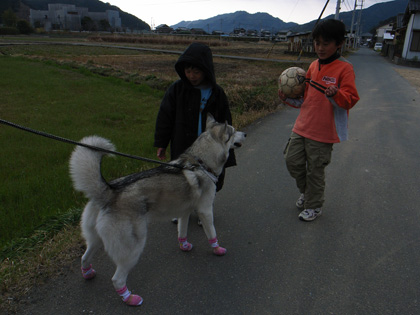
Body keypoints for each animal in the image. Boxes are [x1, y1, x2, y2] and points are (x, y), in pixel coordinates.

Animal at [69, 115, 246, 308]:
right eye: (233, 130)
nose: (244, 134)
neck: (201, 162)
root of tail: (109, 191)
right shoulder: (205, 210)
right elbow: (212, 234)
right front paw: (217, 248)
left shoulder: (184, 211)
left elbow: (182, 231)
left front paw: (184, 246)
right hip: (133, 248)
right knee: (117, 279)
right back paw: (130, 298)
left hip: (95, 240)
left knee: (84, 257)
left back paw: (88, 273)